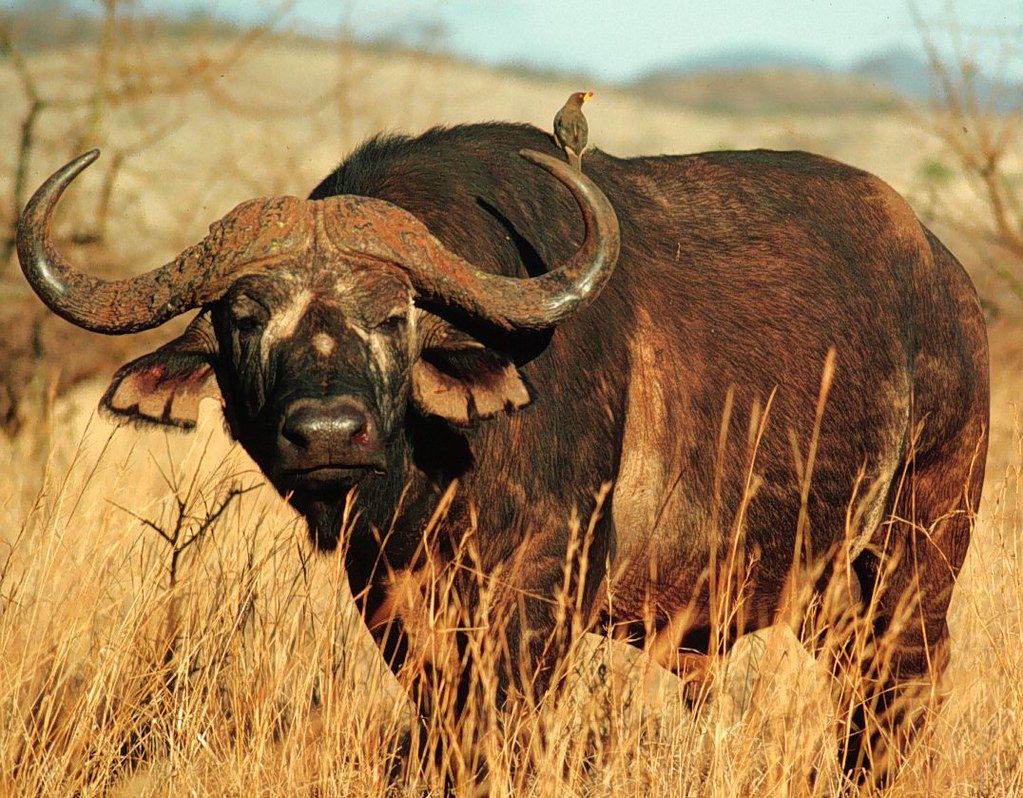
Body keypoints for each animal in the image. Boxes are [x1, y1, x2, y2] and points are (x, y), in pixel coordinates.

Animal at [18, 123, 990, 777]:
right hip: (828, 591)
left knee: (901, 694)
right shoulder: (392, 599)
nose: (327, 433)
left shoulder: (541, 589)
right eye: (246, 318)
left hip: (918, 551)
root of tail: (947, 282)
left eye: (394, 315)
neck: (432, 484)